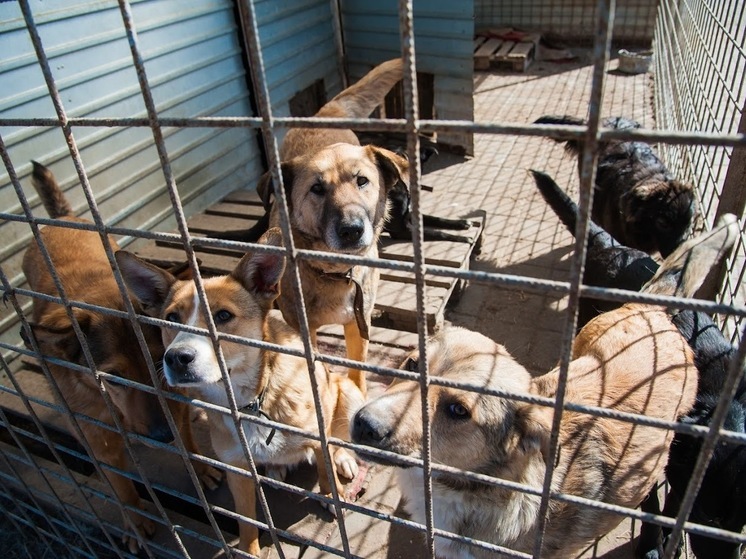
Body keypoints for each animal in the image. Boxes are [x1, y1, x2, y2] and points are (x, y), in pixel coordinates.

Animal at [18, 161, 219, 552]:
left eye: (161, 365)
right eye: (113, 379)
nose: (161, 436)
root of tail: (61, 219)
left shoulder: (176, 405)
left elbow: (188, 442)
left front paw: (200, 468)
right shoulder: (97, 436)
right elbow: (121, 487)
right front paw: (136, 522)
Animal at [115, 228, 364, 556]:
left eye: (223, 316)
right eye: (171, 318)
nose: (176, 358)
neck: (248, 401)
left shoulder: (317, 434)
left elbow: (326, 472)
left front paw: (333, 493)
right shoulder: (236, 468)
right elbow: (246, 520)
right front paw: (249, 549)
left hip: (347, 393)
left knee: (337, 440)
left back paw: (342, 458)